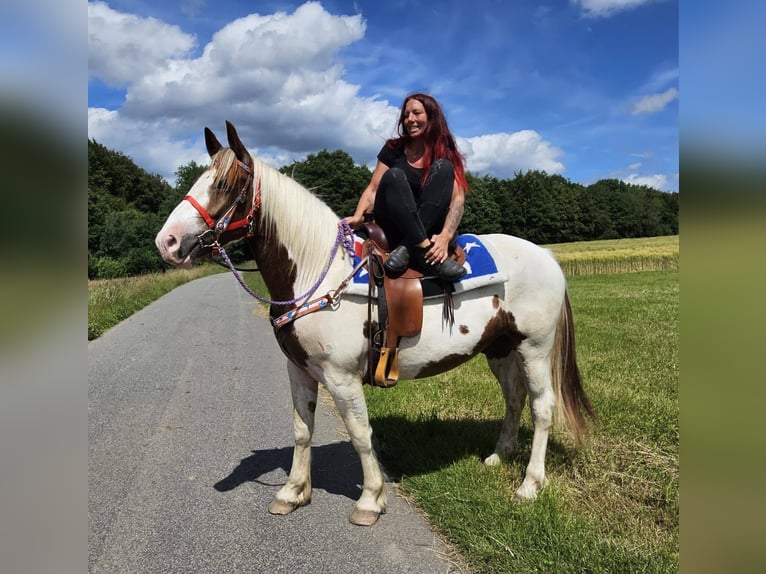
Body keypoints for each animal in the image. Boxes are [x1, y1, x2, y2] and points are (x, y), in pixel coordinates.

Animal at [155, 121, 594, 526]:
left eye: (225, 184)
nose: (167, 242)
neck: (321, 273)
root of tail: (547, 257)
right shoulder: (300, 370)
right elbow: (301, 429)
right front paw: (293, 492)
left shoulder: (342, 377)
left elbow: (360, 434)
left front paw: (370, 499)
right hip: (500, 348)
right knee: (514, 398)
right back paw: (498, 456)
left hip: (534, 348)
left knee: (541, 407)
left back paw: (530, 484)